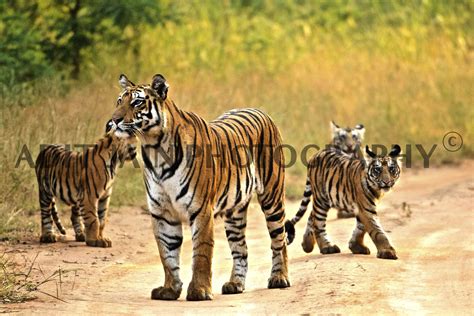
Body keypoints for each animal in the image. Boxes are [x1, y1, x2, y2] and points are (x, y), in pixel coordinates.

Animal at [110, 74, 288, 302]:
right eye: (119, 101)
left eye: (137, 102)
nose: (114, 120)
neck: (155, 148)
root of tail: (260, 110)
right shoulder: (162, 212)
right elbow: (167, 254)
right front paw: (169, 289)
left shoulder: (200, 209)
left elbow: (202, 252)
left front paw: (199, 291)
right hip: (235, 212)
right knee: (241, 248)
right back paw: (235, 284)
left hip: (272, 197)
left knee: (279, 239)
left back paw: (279, 278)